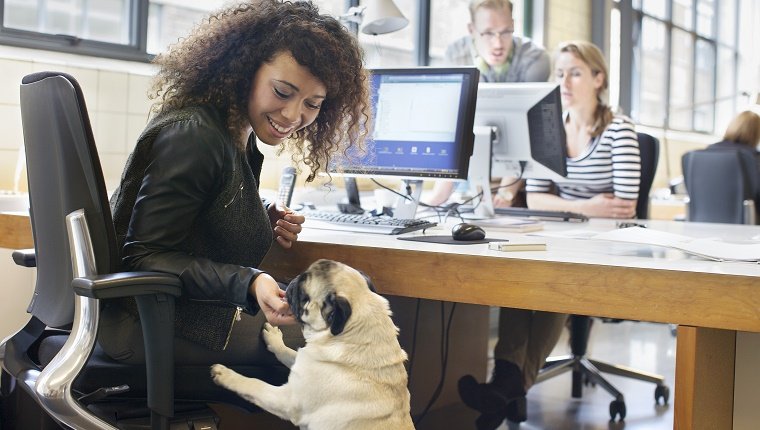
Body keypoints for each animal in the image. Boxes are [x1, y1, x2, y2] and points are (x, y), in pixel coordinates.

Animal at [209, 258, 416, 430]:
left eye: (303, 294)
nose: (293, 281)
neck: (352, 335)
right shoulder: (306, 360)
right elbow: (287, 353)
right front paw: (275, 340)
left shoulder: (287, 400)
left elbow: (254, 384)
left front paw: (226, 375)